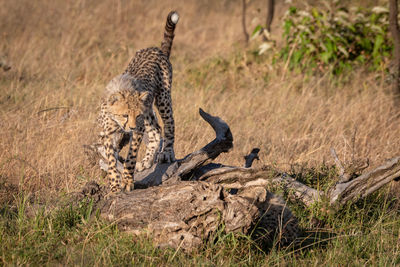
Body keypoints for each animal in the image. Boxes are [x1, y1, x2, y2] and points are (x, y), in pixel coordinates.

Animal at [98, 11, 180, 194]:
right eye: (124, 115)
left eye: (136, 116)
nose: (132, 127)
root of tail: (156, 49)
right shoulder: (109, 133)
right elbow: (111, 160)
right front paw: (114, 184)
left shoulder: (139, 128)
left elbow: (130, 157)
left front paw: (127, 181)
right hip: (149, 109)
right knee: (156, 130)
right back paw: (147, 161)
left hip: (162, 98)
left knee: (168, 125)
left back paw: (166, 153)